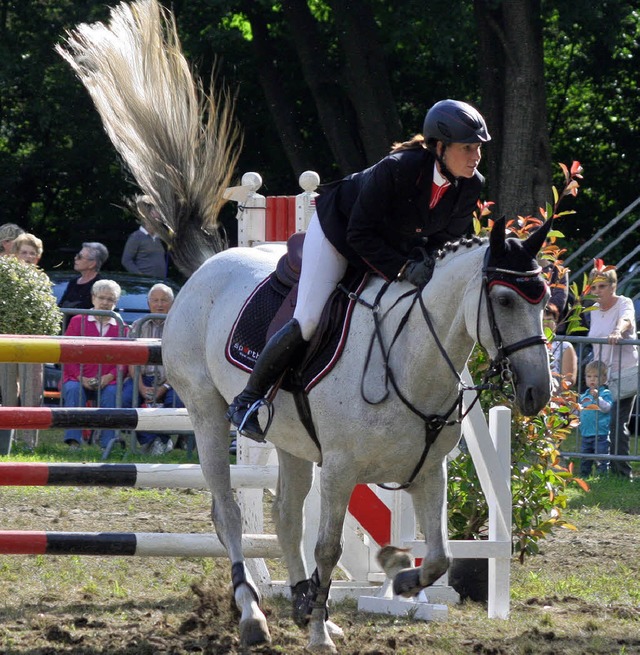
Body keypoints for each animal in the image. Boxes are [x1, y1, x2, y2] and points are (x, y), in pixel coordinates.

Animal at [162, 219, 552, 652]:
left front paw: (400, 576)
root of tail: (210, 266)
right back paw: (253, 616)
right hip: (206, 412)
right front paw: (319, 636)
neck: (408, 357)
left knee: (286, 517)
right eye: (504, 300)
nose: (538, 391)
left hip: (290, 440)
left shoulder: (429, 472)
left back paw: (302, 602)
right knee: (228, 514)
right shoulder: (339, 470)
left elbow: (439, 557)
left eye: (546, 300)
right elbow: (328, 549)